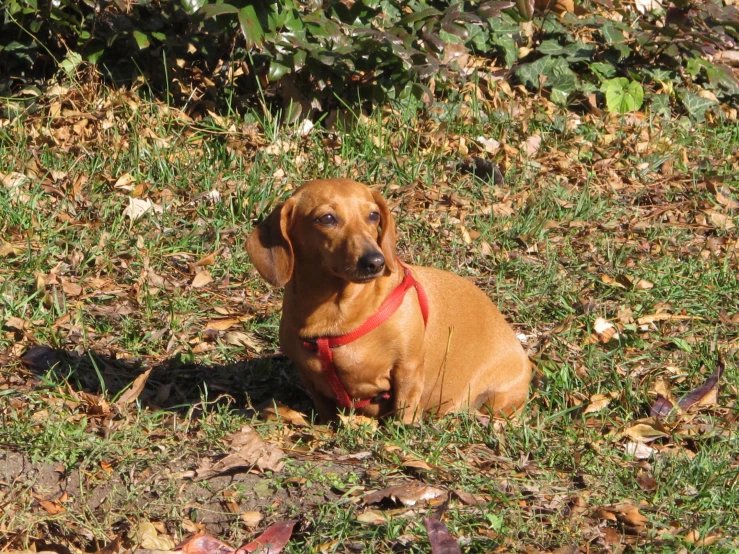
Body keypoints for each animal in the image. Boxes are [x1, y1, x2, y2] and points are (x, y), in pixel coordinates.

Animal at [249, 179, 532, 420]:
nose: (375, 261)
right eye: (327, 218)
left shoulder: (408, 369)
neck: (336, 313)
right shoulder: (311, 378)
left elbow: (404, 411)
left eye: (373, 215)